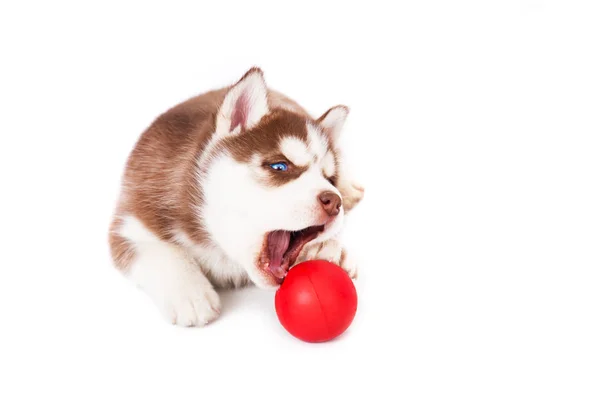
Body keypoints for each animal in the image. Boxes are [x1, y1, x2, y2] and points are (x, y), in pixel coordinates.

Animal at [106, 67, 366, 326]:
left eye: (329, 178)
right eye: (280, 166)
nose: (334, 201)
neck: (221, 244)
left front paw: (327, 249)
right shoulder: (130, 219)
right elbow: (158, 249)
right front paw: (190, 292)